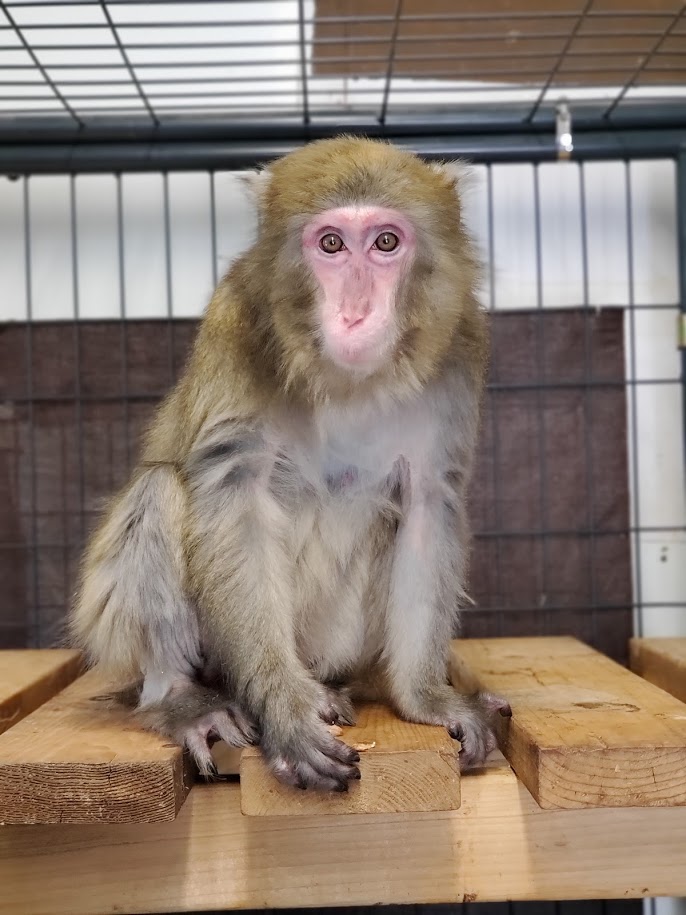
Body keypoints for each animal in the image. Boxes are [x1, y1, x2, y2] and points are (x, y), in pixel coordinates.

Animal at [70, 136, 510, 792]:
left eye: (386, 242)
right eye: (331, 245)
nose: (355, 313)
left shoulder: (459, 347)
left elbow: (428, 504)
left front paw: (427, 698)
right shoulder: (234, 326)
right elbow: (234, 496)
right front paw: (286, 707)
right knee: (160, 489)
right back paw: (181, 698)